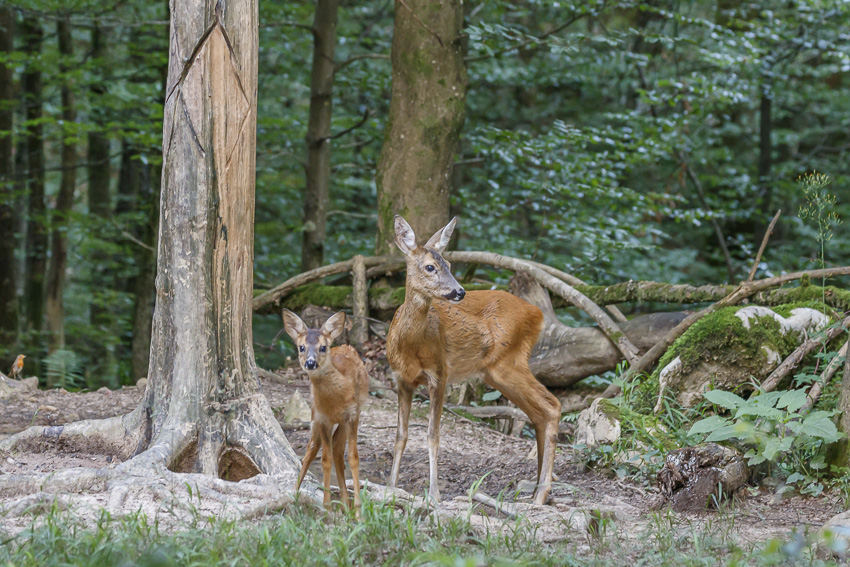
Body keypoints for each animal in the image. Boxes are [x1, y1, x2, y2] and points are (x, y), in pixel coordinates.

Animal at [282, 310, 368, 510]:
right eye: (301, 347)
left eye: (322, 347)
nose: (310, 363)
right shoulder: (322, 419)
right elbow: (325, 460)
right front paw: (327, 506)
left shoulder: (352, 415)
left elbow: (353, 458)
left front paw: (358, 508)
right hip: (314, 416)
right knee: (312, 449)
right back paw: (295, 494)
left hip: (348, 417)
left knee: (338, 449)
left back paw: (346, 504)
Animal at [386, 216, 560, 506]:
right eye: (430, 266)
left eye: (449, 264)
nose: (459, 291)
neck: (411, 347)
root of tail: (537, 314)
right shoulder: (401, 380)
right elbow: (401, 435)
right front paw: (390, 486)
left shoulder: (439, 373)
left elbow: (433, 435)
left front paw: (434, 493)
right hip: (496, 372)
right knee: (538, 413)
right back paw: (536, 489)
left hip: (508, 362)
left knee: (552, 404)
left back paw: (542, 493)